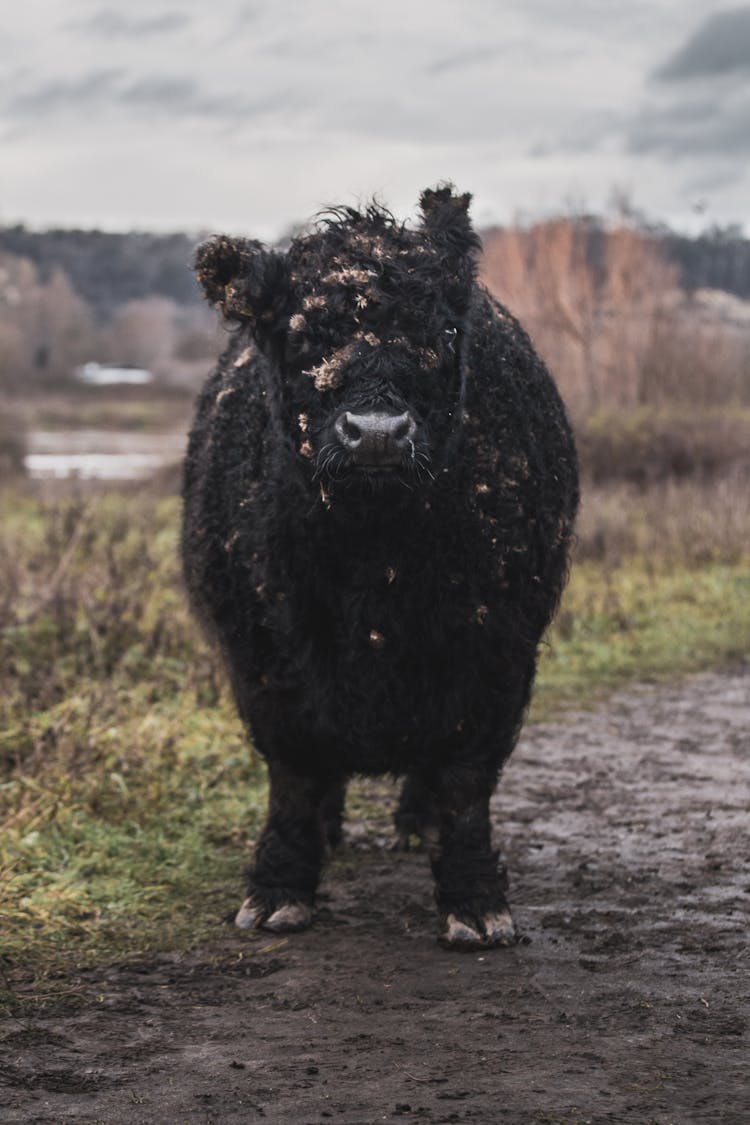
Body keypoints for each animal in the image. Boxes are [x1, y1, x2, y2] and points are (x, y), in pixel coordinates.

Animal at [182, 184, 580, 949]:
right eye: (301, 337)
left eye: (445, 334)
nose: (375, 434)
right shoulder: (265, 658)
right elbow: (294, 776)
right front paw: (277, 890)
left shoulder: (494, 650)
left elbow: (463, 782)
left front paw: (476, 902)